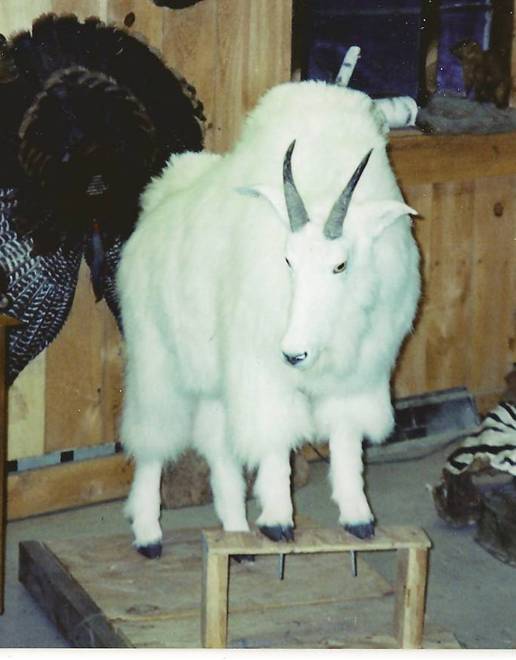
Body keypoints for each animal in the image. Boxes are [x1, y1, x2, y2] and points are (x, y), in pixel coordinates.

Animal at [117, 81, 421, 558]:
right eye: (288, 259)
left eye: (341, 264)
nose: (294, 353)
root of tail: (158, 201)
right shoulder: (262, 372)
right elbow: (275, 439)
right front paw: (278, 519)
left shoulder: (356, 377)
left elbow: (346, 440)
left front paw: (358, 517)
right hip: (156, 361)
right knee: (152, 442)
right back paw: (148, 533)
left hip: (213, 381)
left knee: (219, 447)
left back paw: (237, 533)